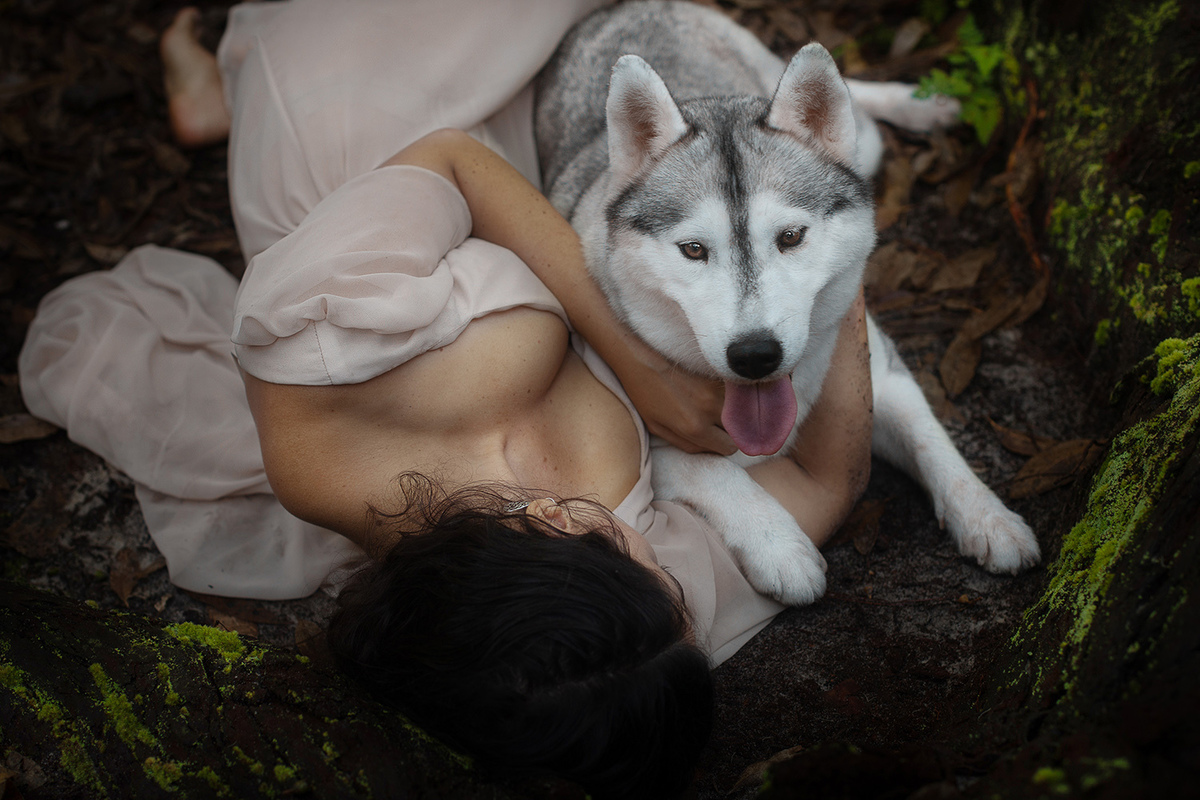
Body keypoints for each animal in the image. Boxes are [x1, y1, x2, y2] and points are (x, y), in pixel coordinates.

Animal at [535, 0, 1041, 605]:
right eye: (693, 249)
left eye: (792, 237)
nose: (755, 355)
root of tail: (615, 8)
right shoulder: (644, 444)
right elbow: (715, 471)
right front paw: (780, 546)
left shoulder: (880, 373)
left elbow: (932, 440)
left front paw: (989, 517)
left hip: (847, 131)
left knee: (857, 107)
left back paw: (921, 102)